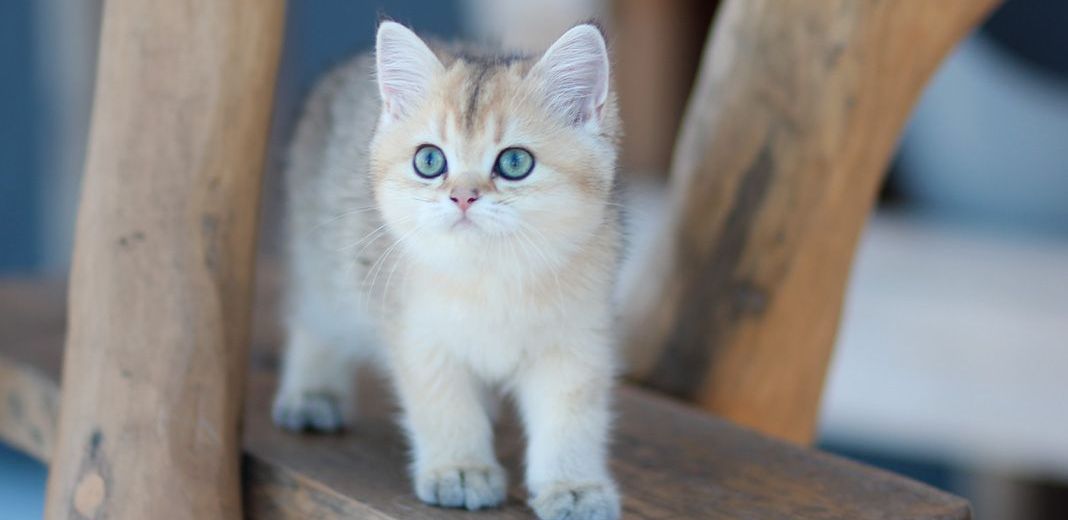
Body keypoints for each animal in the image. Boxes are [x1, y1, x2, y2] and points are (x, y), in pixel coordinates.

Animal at [273, 20, 623, 520]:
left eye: (515, 162)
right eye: (429, 160)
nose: (462, 196)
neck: (491, 275)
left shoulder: (575, 342)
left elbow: (571, 419)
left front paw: (573, 486)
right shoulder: (419, 337)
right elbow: (444, 406)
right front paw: (460, 470)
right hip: (321, 266)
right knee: (312, 322)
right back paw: (313, 392)